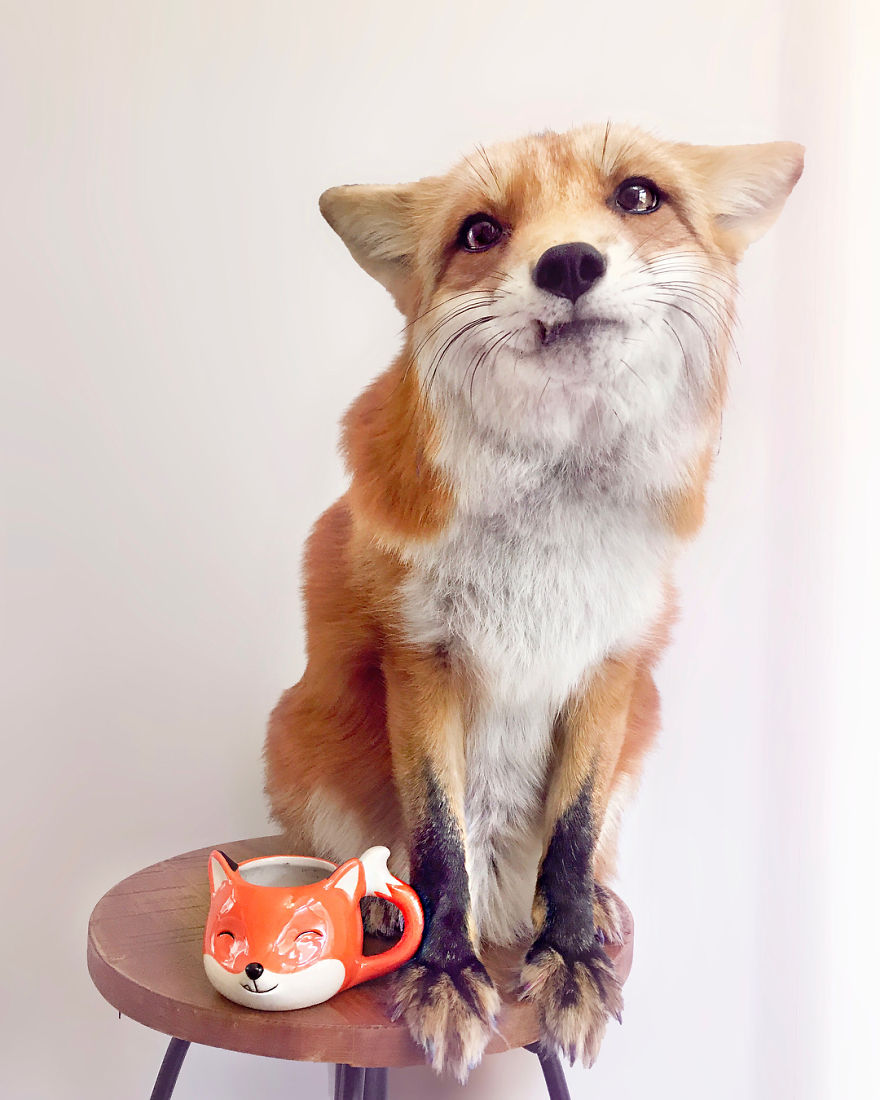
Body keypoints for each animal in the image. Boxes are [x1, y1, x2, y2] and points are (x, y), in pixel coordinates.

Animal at [263, 122, 803, 1080]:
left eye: (638, 195)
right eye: (480, 231)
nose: (570, 262)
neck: (551, 532)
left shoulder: (612, 666)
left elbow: (574, 838)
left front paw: (575, 954)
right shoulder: (420, 658)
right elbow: (438, 844)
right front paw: (443, 969)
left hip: (643, 724)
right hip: (301, 734)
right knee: (368, 852)